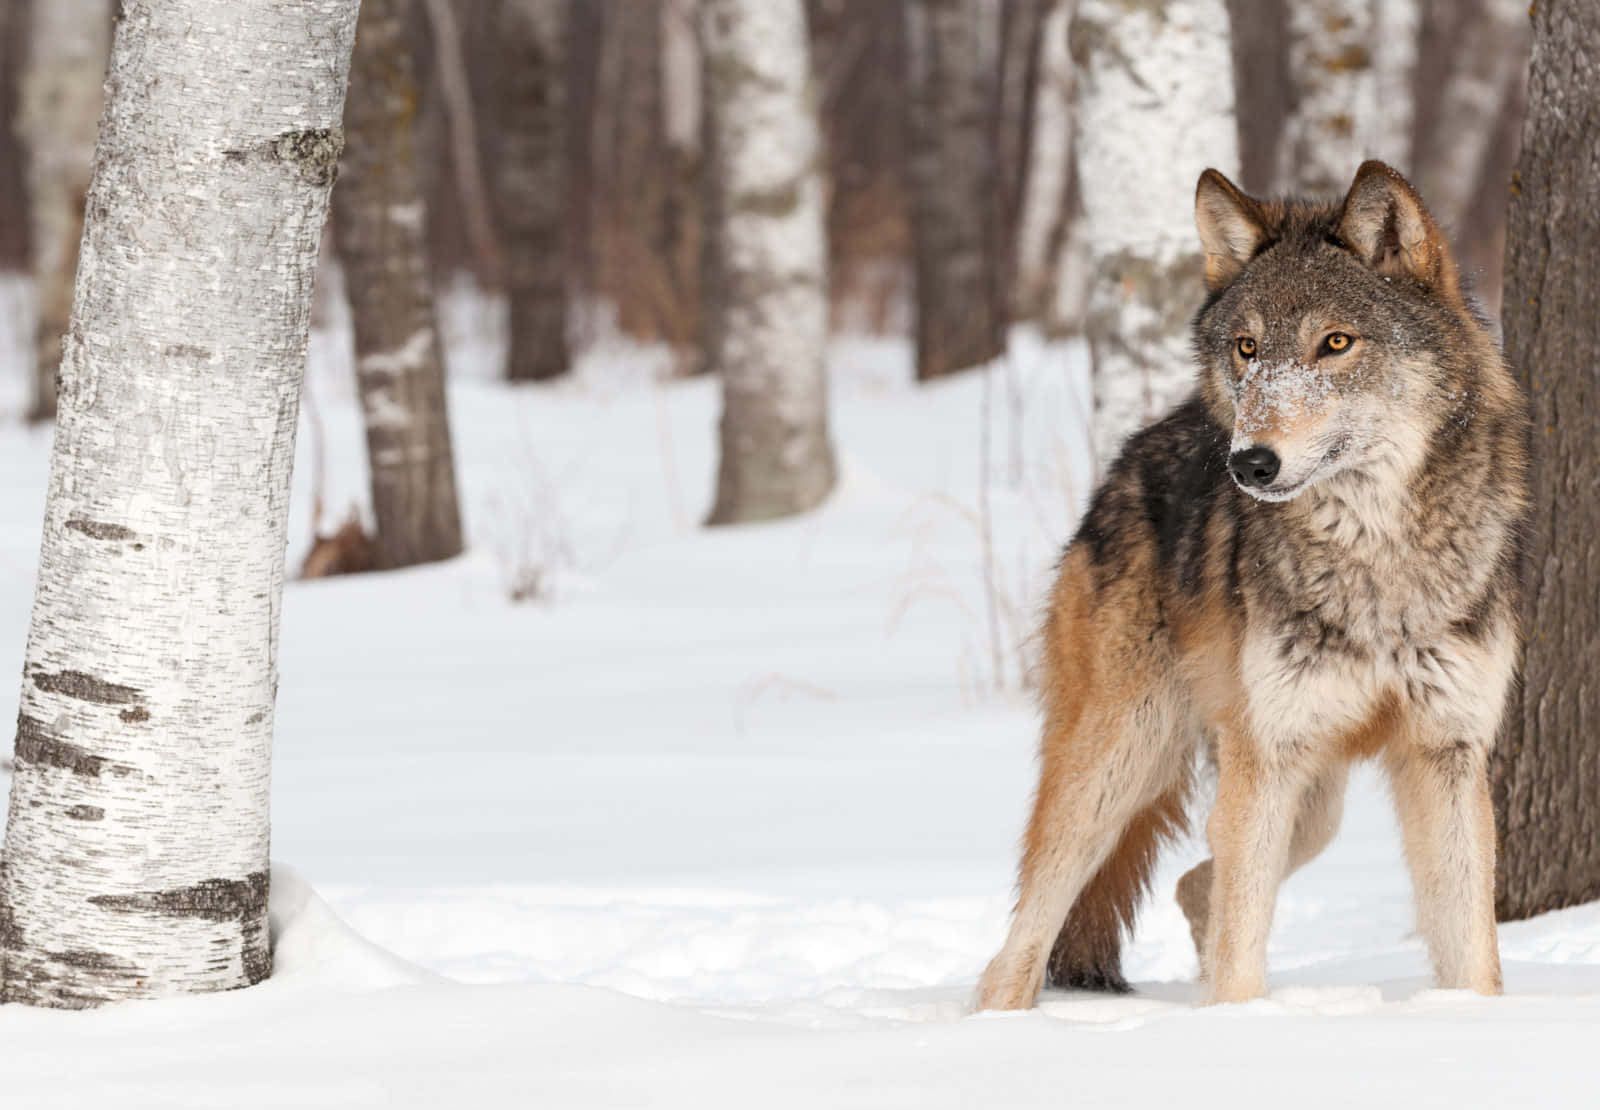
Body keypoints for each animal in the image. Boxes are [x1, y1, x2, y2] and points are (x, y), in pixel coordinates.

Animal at [972, 160, 1523, 1010]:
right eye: (1246, 348)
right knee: (1021, 943)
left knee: (1196, 881)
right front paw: (1238, 1026)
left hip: (1306, 801)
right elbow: (1240, 960)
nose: (1249, 463)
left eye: (1336, 343)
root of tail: (1133, 452)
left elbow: (1472, 955)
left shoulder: (1446, 754)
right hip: (1123, 764)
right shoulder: (1270, 755)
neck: (1376, 561)